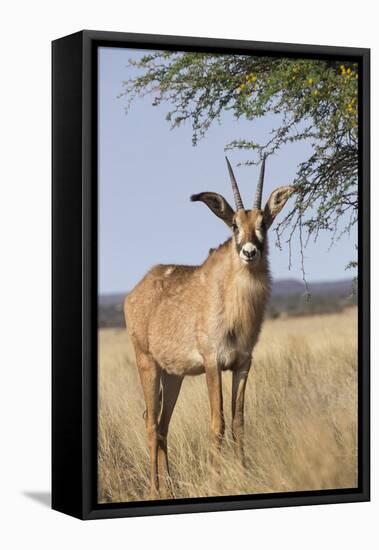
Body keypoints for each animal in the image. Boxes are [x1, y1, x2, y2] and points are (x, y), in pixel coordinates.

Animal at [124, 156, 294, 500]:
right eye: (234, 225)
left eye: (263, 223)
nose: (249, 252)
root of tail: (135, 291)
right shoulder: (213, 363)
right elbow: (218, 424)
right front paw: (217, 483)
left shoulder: (243, 364)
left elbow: (239, 421)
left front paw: (244, 474)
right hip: (147, 363)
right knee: (151, 423)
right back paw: (154, 490)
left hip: (173, 375)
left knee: (162, 424)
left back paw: (170, 488)